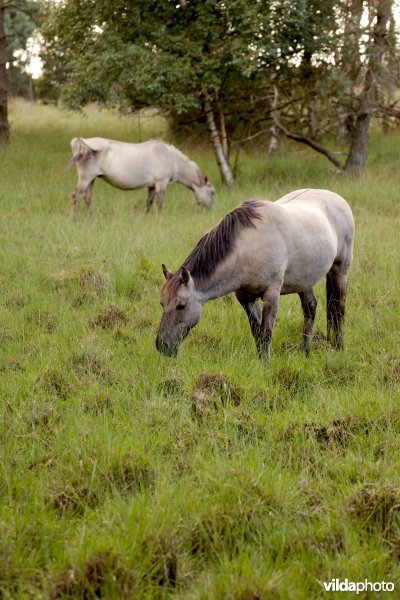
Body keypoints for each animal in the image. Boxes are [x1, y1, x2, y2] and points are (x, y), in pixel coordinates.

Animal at [65, 137, 216, 214]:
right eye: (213, 192)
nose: (213, 210)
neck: (171, 158)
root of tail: (82, 141)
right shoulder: (161, 184)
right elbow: (159, 203)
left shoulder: (152, 186)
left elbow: (149, 203)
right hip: (85, 179)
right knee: (75, 197)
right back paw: (73, 219)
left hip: (91, 179)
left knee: (87, 198)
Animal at [155, 190, 354, 364]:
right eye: (162, 304)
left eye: (181, 305)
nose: (162, 345)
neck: (247, 246)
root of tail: (337, 198)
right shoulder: (246, 297)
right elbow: (256, 332)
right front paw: (260, 363)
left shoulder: (271, 294)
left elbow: (266, 333)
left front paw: (265, 366)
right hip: (303, 281)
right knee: (310, 308)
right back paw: (305, 352)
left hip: (340, 270)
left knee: (339, 308)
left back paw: (339, 347)